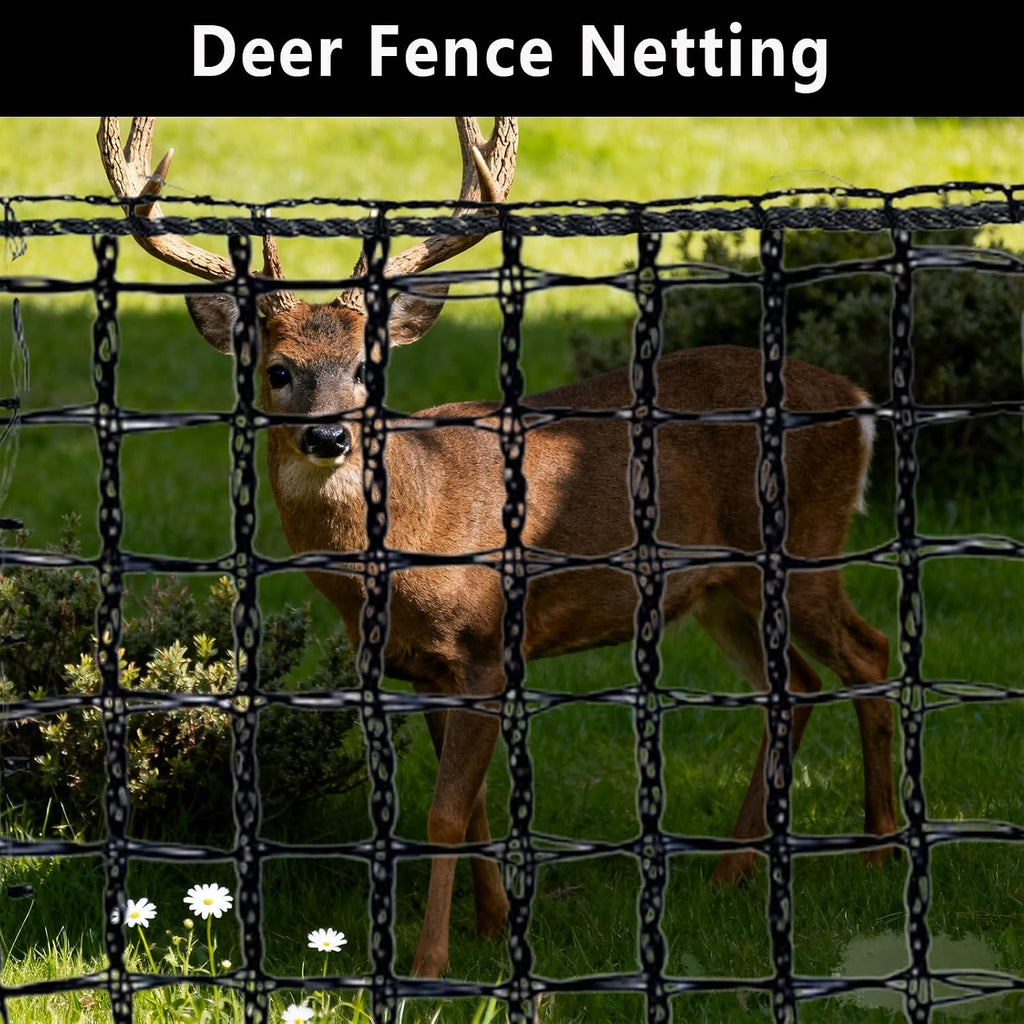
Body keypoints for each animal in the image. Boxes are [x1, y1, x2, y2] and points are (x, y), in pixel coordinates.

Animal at [98, 116, 898, 978]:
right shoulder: (422, 669)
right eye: (277, 370)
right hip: (721, 588)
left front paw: (430, 965)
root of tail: (857, 401)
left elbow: (446, 812)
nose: (328, 436)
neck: (407, 543)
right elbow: (475, 806)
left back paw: (879, 850)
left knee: (868, 653)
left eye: (367, 369)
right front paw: (493, 920)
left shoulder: (483, 646)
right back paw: (734, 868)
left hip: (804, 544)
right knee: (797, 685)